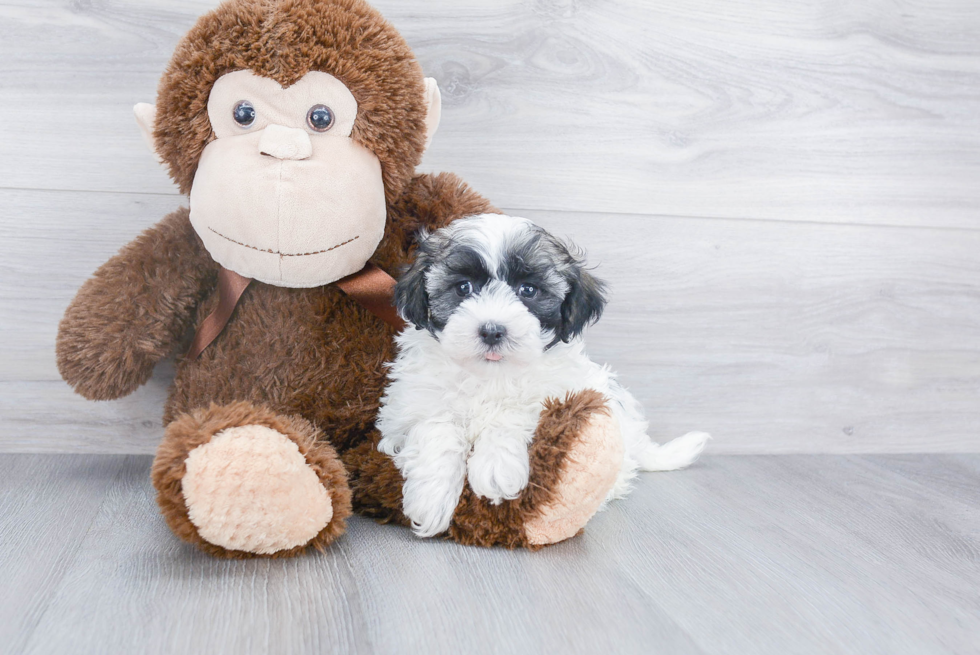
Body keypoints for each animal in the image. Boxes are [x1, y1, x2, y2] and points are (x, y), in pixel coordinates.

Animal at [376, 215, 704, 540]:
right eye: (463, 287)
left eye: (528, 290)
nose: (492, 330)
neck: (491, 375)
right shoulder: (409, 405)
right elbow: (436, 426)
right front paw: (431, 499)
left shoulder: (558, 392)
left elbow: (513, 412)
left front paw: (496, 467)